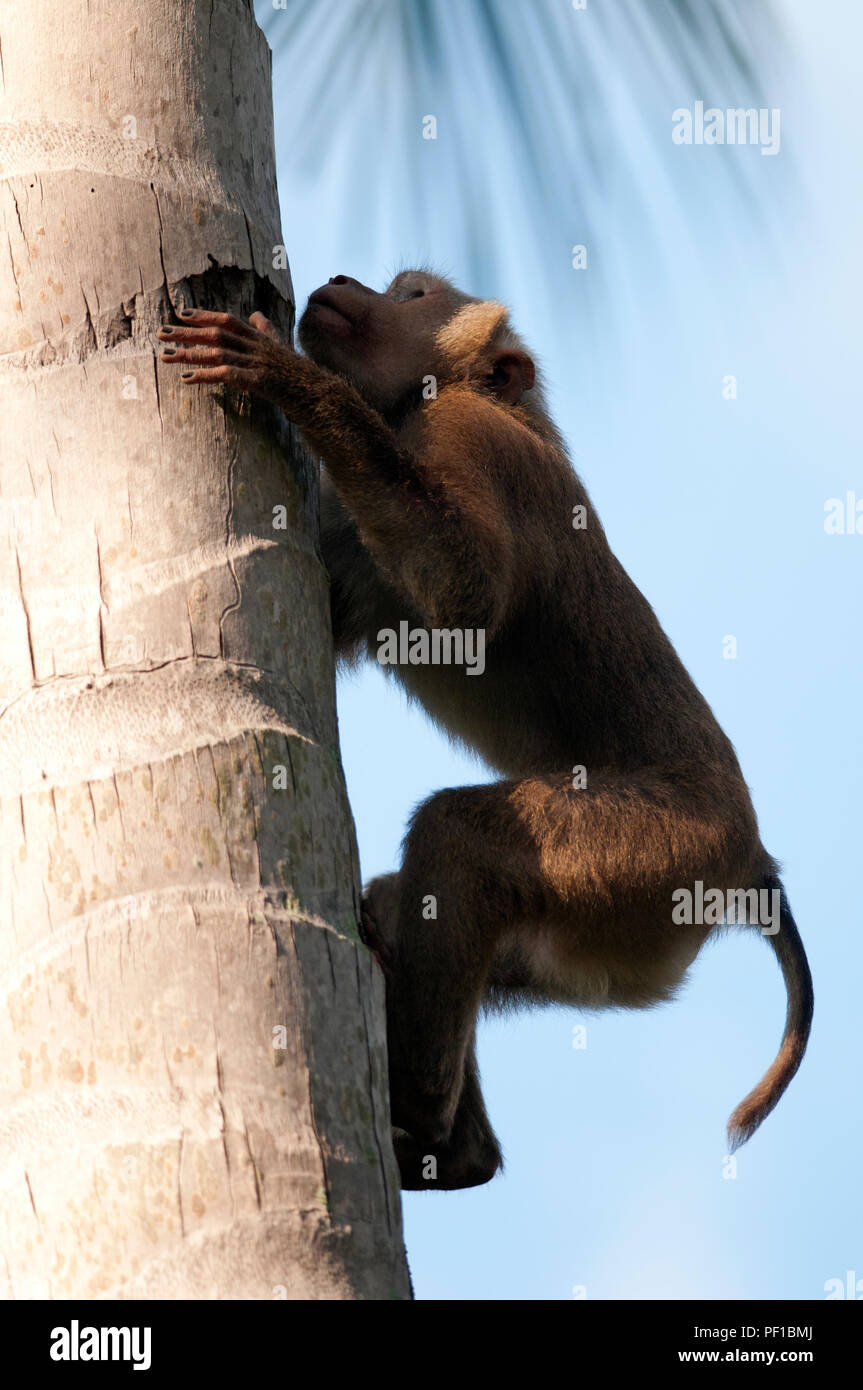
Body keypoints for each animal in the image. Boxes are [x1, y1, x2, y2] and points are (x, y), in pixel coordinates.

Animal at [158, 273, 811, 1195]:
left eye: (413, 295)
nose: (344, 285)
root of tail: (752, 863)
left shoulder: (468, 434)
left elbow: (463, 585)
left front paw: (285, 378)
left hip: (657, 853)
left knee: (459, 838)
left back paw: (421, 1114)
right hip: (617, 935)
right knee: (415, 904)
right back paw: (459, 1150)